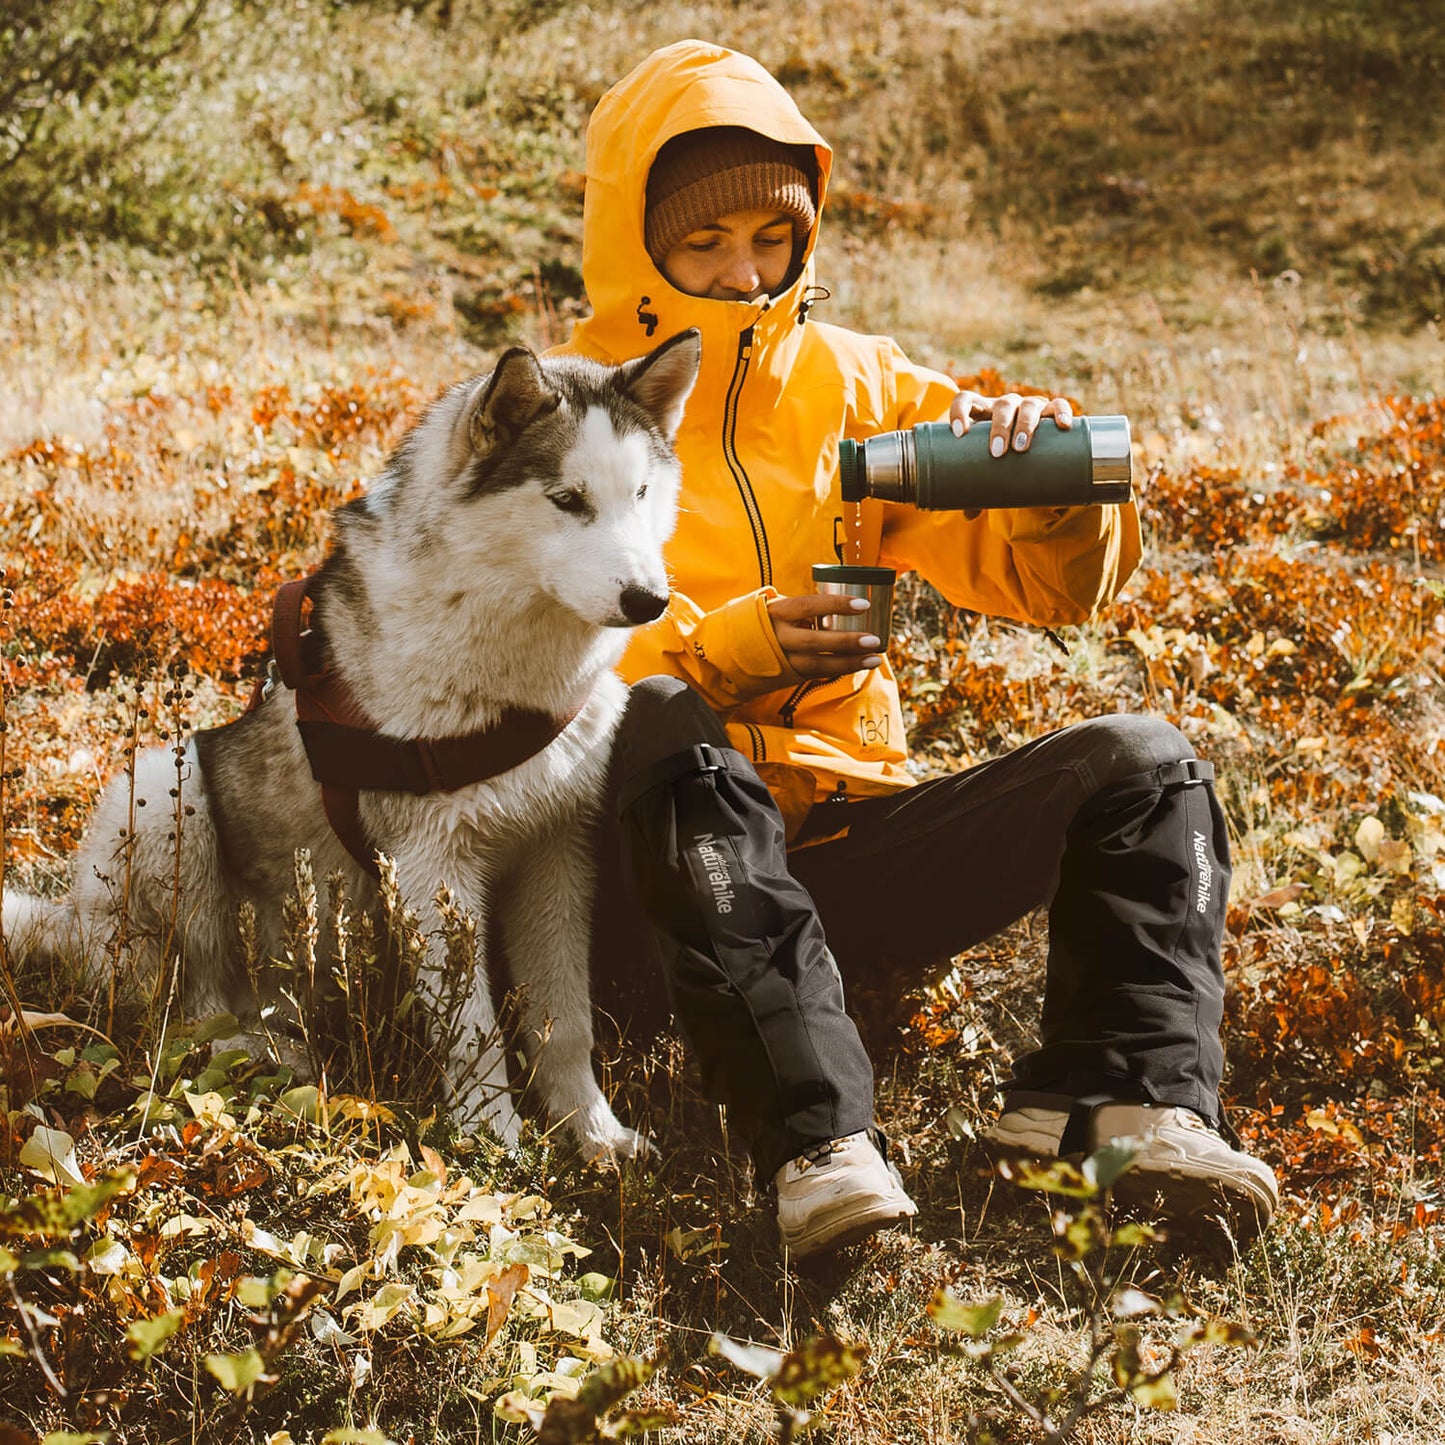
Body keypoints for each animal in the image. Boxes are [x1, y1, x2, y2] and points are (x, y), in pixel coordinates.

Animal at [5, 330, 705, 1161]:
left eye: (639, 494)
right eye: (567, 499)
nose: (650, 600)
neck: (511, 679)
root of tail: (75, 922)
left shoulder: (556, 850)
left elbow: (563, 1021)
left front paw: (594, 1133)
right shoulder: (434, 866)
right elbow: (471, 1031)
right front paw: (493, 1139)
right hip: (161, 796)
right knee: (190, 1010)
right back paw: (259, 1051)